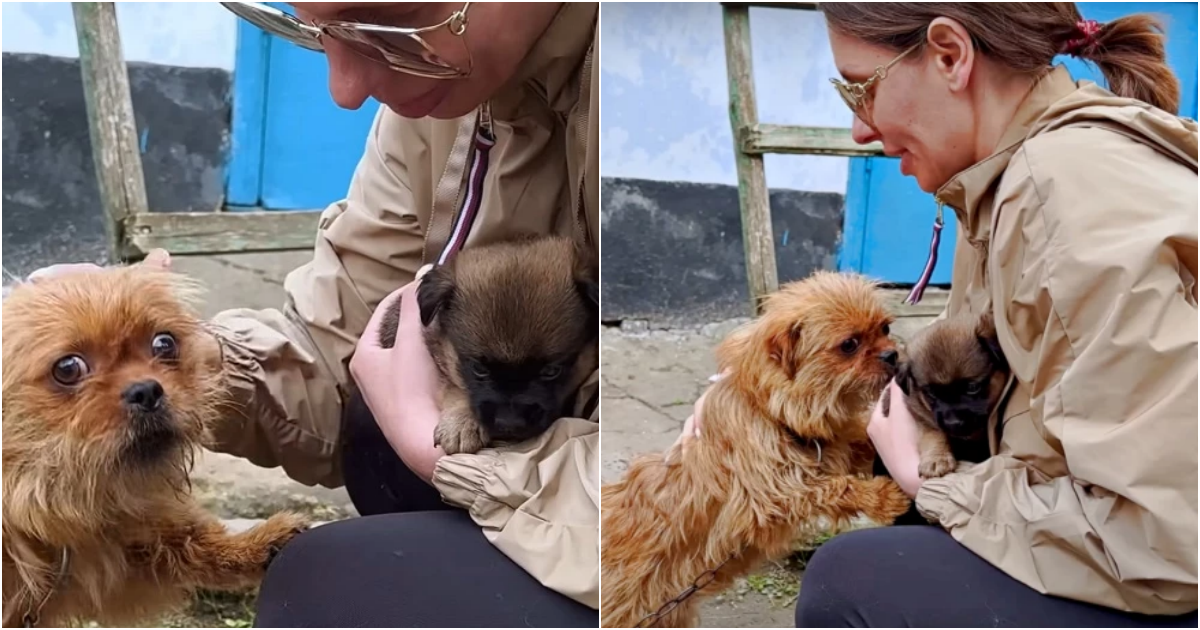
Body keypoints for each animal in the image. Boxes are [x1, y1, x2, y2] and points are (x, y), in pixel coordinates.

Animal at [604, 272, 912, 624]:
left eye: (885, 329)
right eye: (849, 345)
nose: (891, 355)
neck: (774, 412)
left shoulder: (838, 444)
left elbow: (862, 442)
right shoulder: (770, 495)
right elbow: (834, 487)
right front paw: (883, 497)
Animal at [888, 309, 1008, 477]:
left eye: (972, 387)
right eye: (931, 393)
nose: (952, 423)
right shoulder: (924, 417)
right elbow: (934, 434)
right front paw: (936, 458)